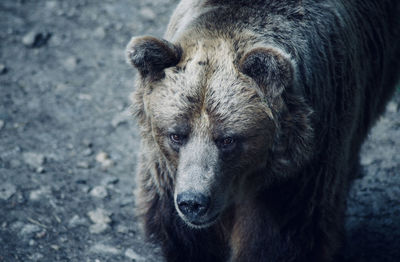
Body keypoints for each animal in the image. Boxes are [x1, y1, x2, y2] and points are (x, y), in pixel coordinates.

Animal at [126, 0, 400, 262]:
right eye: (176, 134)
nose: (194, 202)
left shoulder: (302, 172)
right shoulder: (167, 175)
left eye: (228, 139)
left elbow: (280, 240)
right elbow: (184, 236)